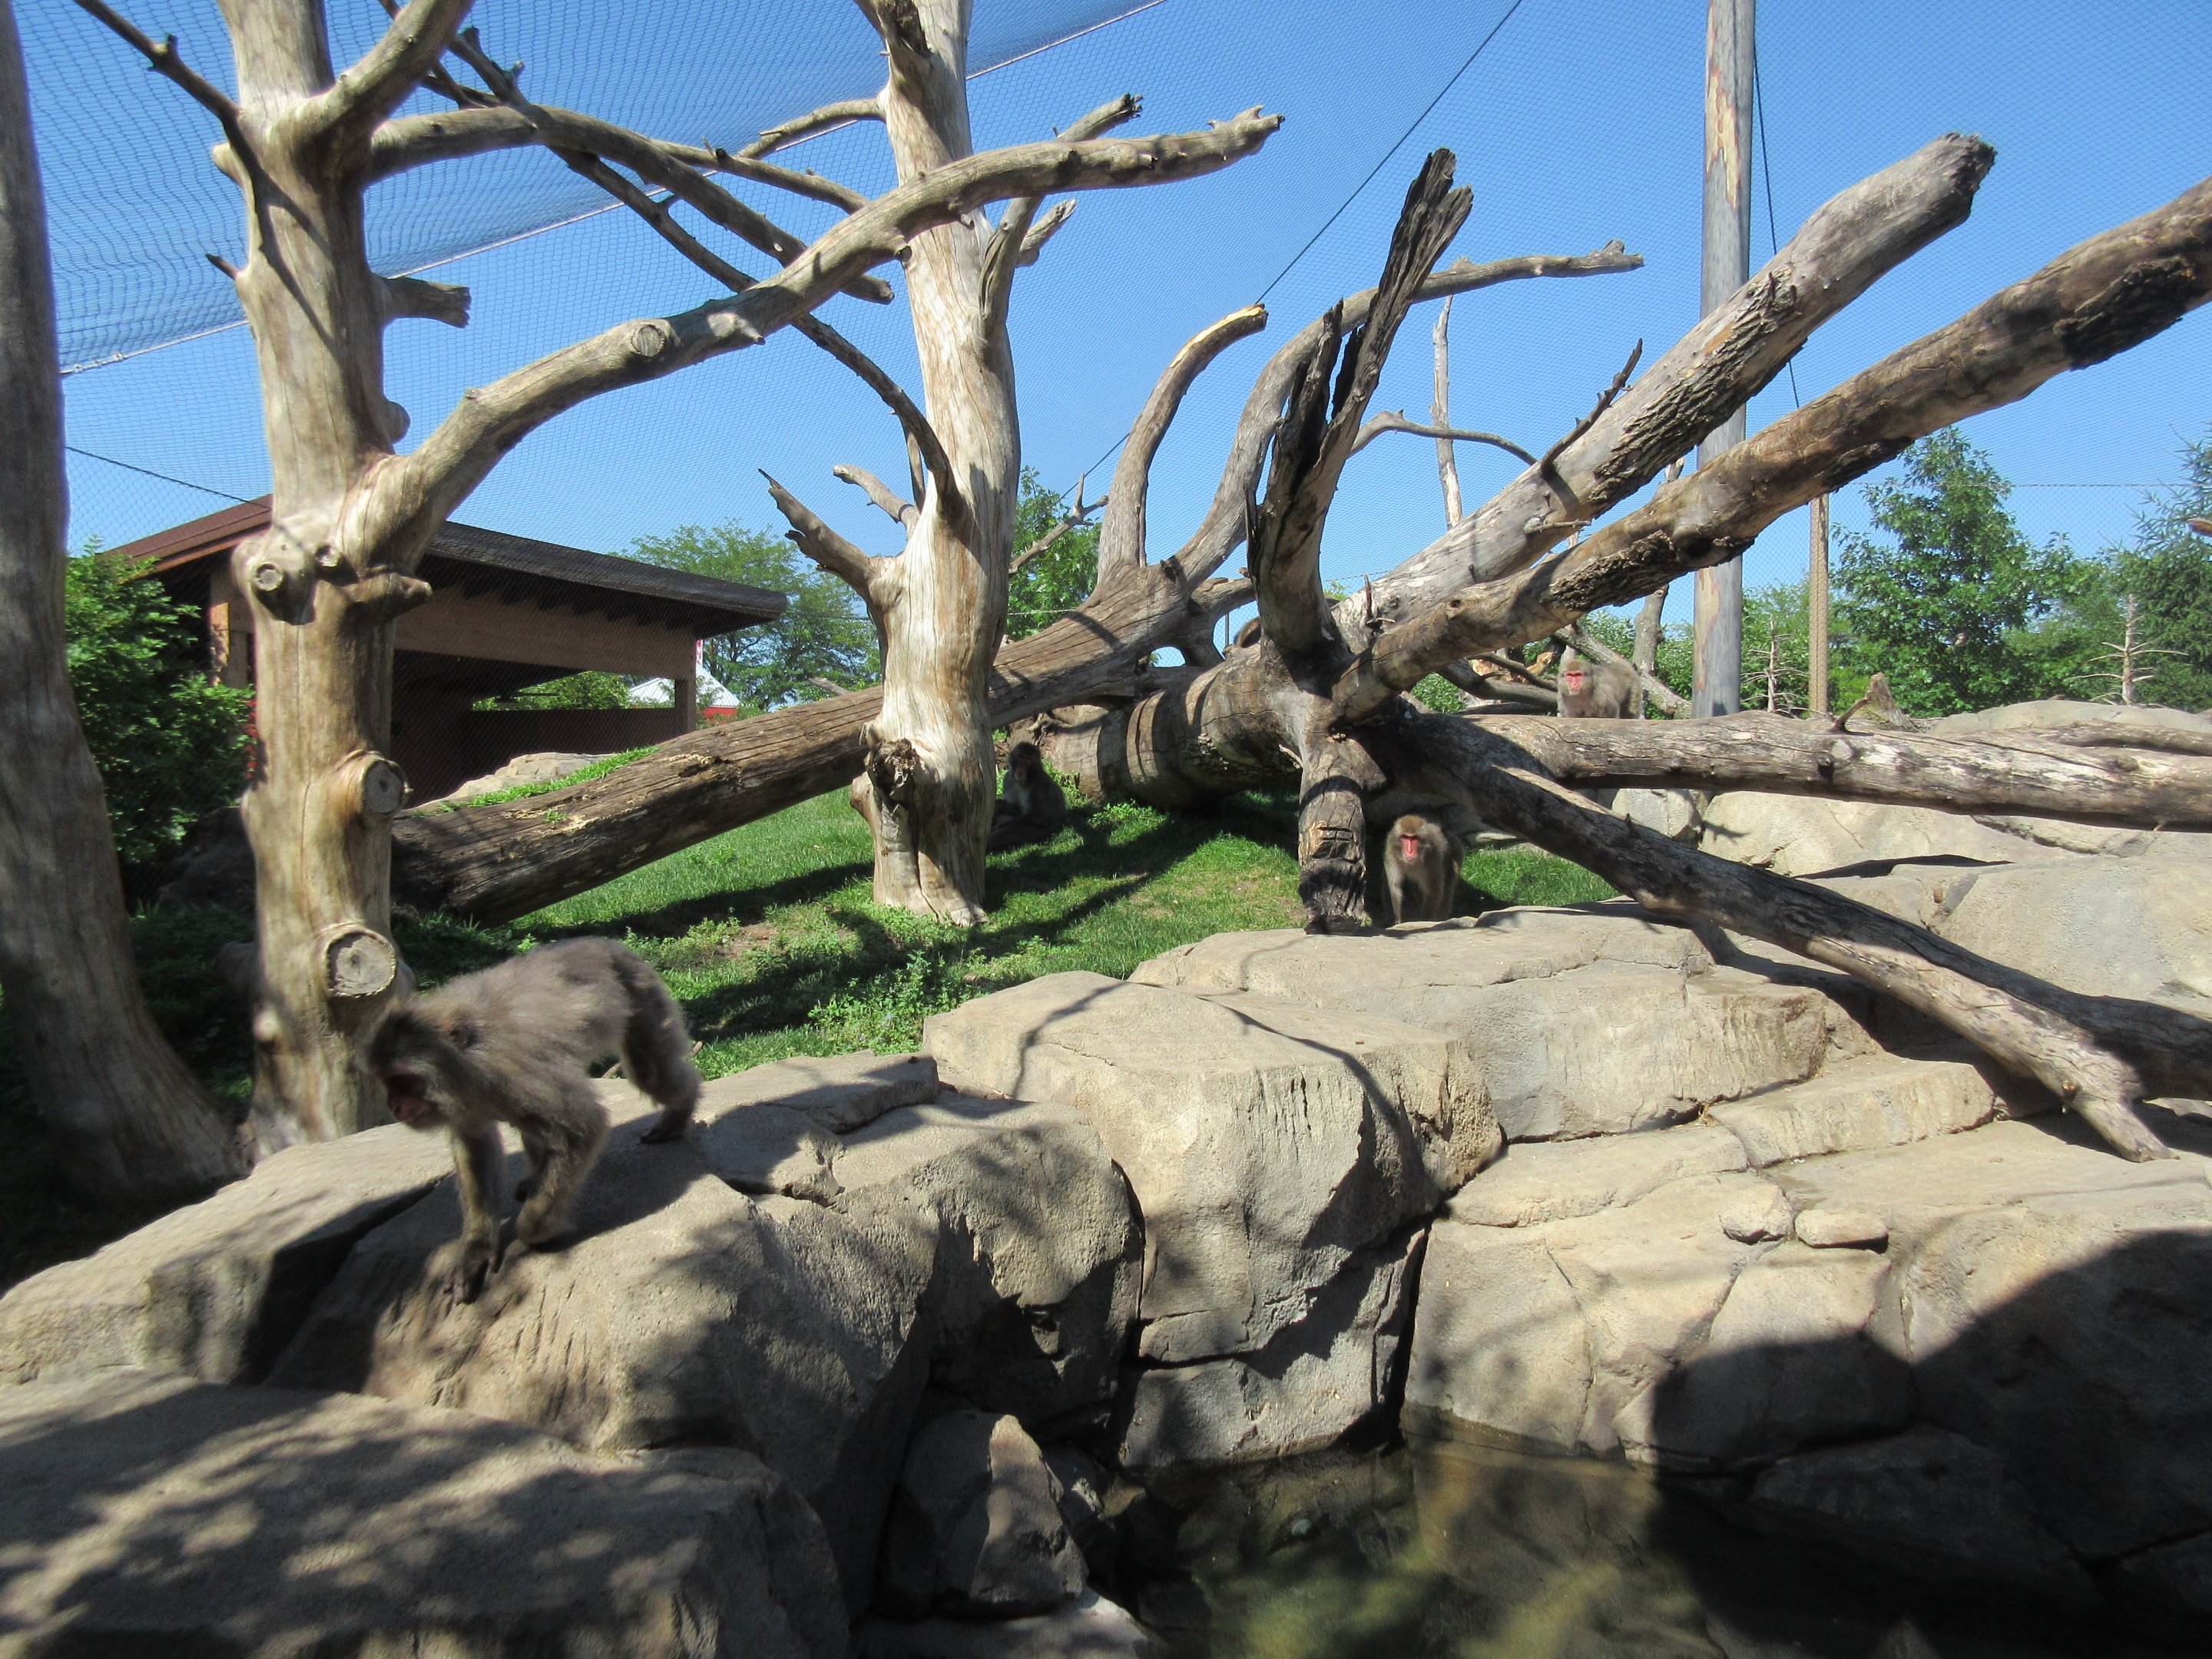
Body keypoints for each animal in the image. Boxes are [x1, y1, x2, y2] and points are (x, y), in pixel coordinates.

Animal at [367, 938, 700, 1303]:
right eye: (386, 1081)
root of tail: (605, 943)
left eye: (402, 1081)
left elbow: (583, 1127)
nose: (394, 1104)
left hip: (640, 992)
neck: (469, 1063)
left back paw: (680, 1112)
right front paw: (477, 1248)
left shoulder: (518, 1074)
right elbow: (475, 1145)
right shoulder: (468, 1098)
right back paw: (533, 1176)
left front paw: (540, 1230)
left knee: (649, 1072)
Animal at [988, 741, 1069, 851]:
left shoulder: (1038, 785)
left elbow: (1038, 816)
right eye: (1021, 756)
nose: (1022, 766)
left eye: (1029, 759)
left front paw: (1000, 826)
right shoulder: (1008, 779)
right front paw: (996, 806)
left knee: (1011, 832)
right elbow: (1014, 807)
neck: (1023, 781)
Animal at [1383, 812, 1461, 925]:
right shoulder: (1391, 853)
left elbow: (1434, 890)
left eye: (1414, 838)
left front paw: (1424, 921)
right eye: (1405, 838)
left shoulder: (1432, 856)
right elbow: (1394, 886)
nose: (1409, 851)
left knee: (1447, 891)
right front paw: (1396, 920)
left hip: (1456, 854)